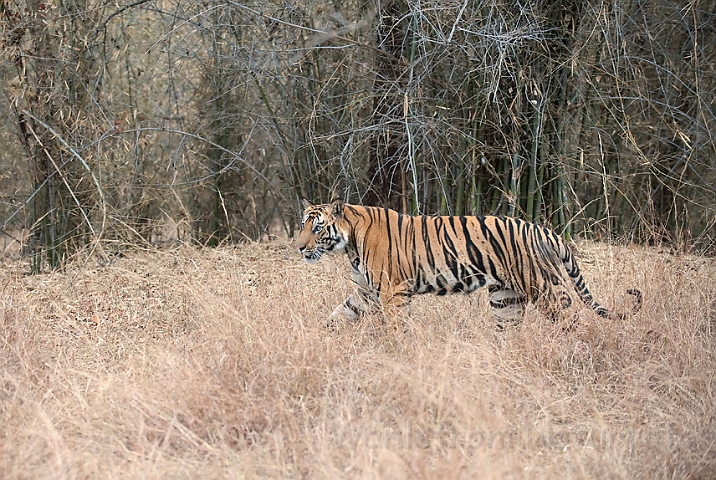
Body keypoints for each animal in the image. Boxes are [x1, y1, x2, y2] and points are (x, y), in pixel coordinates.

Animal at [294, 197, 640, 328]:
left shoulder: (393, 292)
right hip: (505, 298)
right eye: (302, 224)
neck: (349, 243)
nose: (299, 247)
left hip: (545, 288)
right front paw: (321, 337)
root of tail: (546, 230)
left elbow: (397, 327)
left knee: (573, 318)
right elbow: (338, 314)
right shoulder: (365, 292)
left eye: (317, 228)